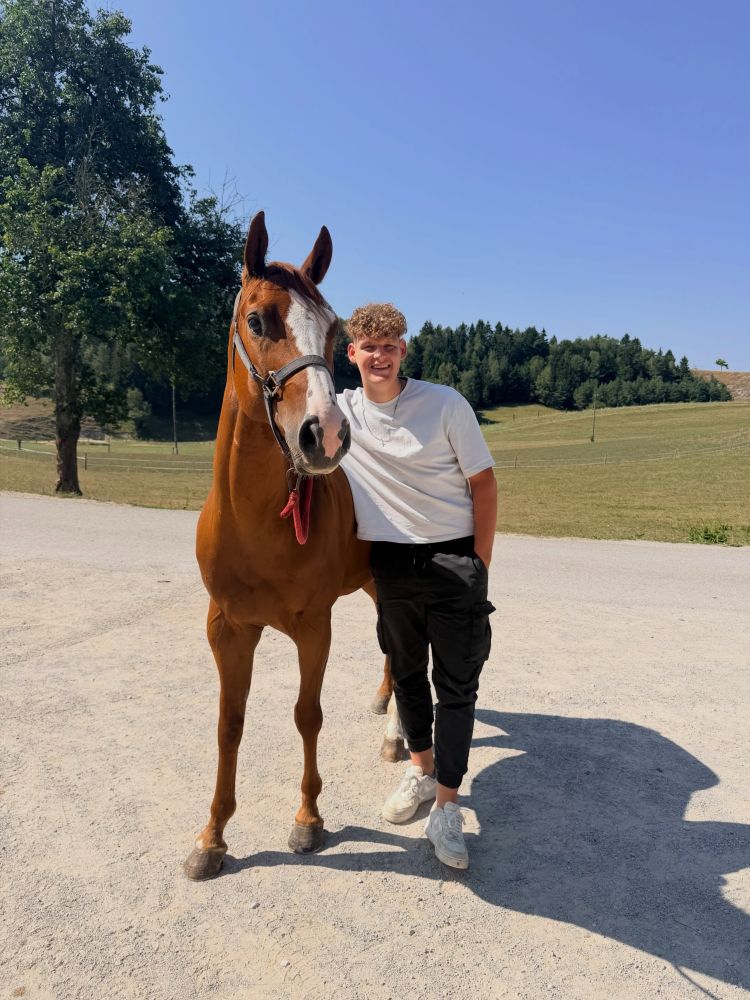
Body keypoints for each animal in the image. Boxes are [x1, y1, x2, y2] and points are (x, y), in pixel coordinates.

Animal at [184, 212, 400, 881]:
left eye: (332, 329)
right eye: (258, 321)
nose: (324, 434)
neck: (256, 526)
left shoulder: (313, 626)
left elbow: (308, 715)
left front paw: (308, 819)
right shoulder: (227, 628)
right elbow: (229, 724)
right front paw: (212, 837)